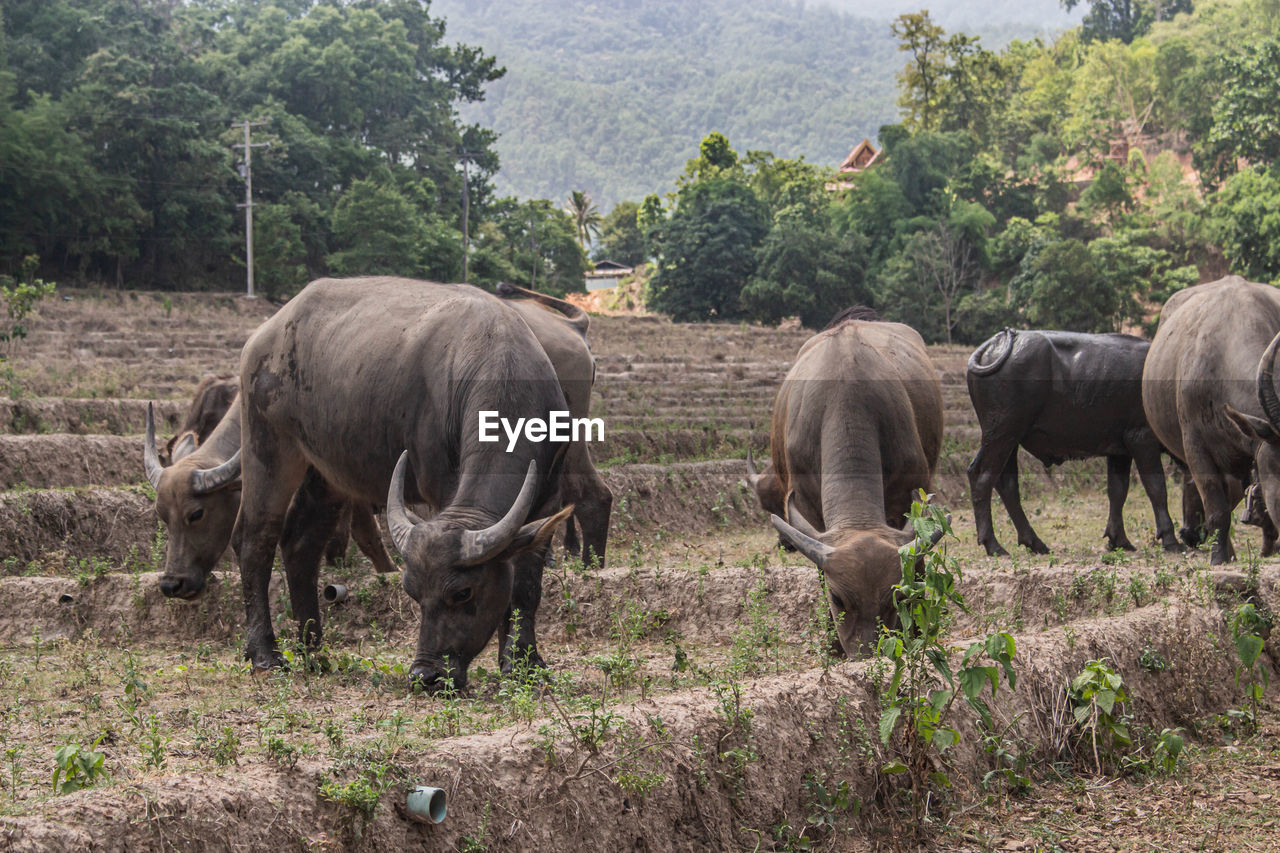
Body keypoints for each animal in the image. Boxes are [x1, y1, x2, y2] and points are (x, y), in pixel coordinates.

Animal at [962, 327, 1172, 555]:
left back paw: (1034, 542)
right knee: (983, 478)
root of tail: (1001, 338)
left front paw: (1119, 540)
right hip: (1002, 433)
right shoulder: (1142, 439)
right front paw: (1171, 539)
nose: (1189, 533)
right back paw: (993, 545)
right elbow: (1157, 487)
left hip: (1005, 438)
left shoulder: (1120, 451)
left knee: (1003, 482)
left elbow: (1118, 491)